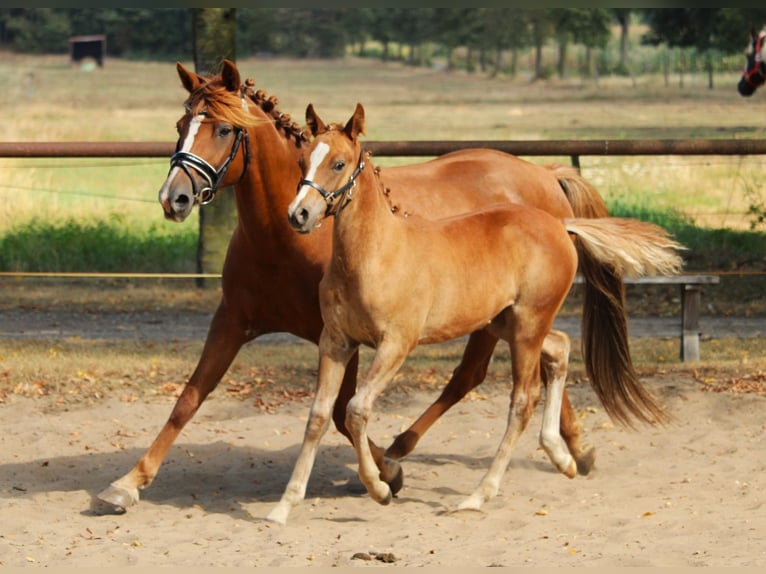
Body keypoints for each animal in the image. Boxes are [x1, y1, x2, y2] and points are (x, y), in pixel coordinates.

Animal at [96, 58, 627, 514]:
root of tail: (545, 175)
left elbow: (340, 411)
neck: (281, 238)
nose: (174, 198)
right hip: (502, 319)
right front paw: (125, 484)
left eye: (224, 129)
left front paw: (384, 476)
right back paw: (573, 450)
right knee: (541, 358)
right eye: (180, 125)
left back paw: (410, 451)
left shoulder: (338, 337)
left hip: (499, 319)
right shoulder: (235, 320)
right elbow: (190, 397)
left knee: (477, 376)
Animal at [268, 103, 684, 524]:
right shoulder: (335, 342)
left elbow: (355, 410)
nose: (299, 214)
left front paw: (380, 488)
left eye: (338, 163)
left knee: (522, 401)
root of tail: (559, 224)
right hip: (507, 324)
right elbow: (318, 415)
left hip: (527, 325)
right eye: (302, 159)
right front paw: (285, 505)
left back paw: (479, 494)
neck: (375, 255)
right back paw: (562, 456)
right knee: (560, 348)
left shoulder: (396, 344)